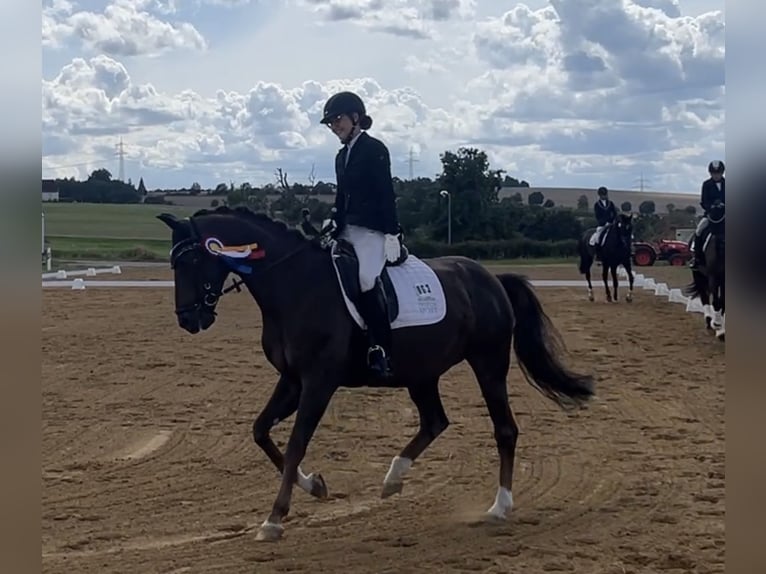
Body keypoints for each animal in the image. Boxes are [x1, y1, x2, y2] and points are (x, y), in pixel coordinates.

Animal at [156, 205, 595, 542]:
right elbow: (261, 431)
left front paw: (274, 519)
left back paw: (499, 506)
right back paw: (393, 479)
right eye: (174, 263)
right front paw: (315, 486)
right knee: (435, 421)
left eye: (191, 260)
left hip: (488, 363)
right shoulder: (293, 380)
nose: (189, 320)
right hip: (422, 373)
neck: (294, 284)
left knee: (504, 429)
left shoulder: (319, 382)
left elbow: (296, 443)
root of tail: (490, 279)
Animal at [683, 201, 725, 341]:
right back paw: (709, 321)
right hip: (699, 274)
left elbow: (723, 302)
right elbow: (716, 302)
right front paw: (718, 327)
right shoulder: (713, 277)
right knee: (704, 296)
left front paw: (721, 328)